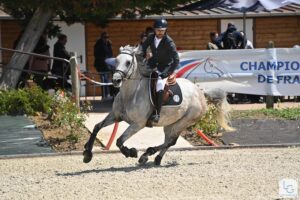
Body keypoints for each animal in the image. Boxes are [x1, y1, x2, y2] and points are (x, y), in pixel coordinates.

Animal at [82, 45, 234, 166]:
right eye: (116, 61)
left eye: (128, 62)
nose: (116, 80)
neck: (130, 94)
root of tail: (200, 92)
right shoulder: (115, 116)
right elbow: (97, 127)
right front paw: (87, 154)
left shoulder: (138, 124)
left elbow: (119, 141)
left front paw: (130, 152)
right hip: (171, 124)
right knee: (169, 141)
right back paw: (155, 158)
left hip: (183, 122)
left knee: (171, 142)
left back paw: (147, 154)